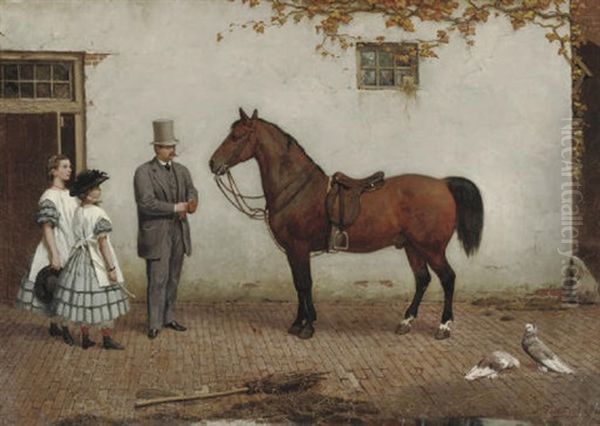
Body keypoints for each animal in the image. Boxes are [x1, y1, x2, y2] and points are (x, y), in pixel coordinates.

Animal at [210, 109, 482, 340]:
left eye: (236, 136)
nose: (213, 163)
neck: (296, 188)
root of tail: (443, 183)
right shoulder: (292, 251)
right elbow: (298, 285)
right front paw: (298, 323)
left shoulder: (299, 248)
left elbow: (305, 284)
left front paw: (308, 326)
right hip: (412, 247)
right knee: (422, 280)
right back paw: (405, 322)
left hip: (432, 249)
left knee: (448, 279)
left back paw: (444, 326)